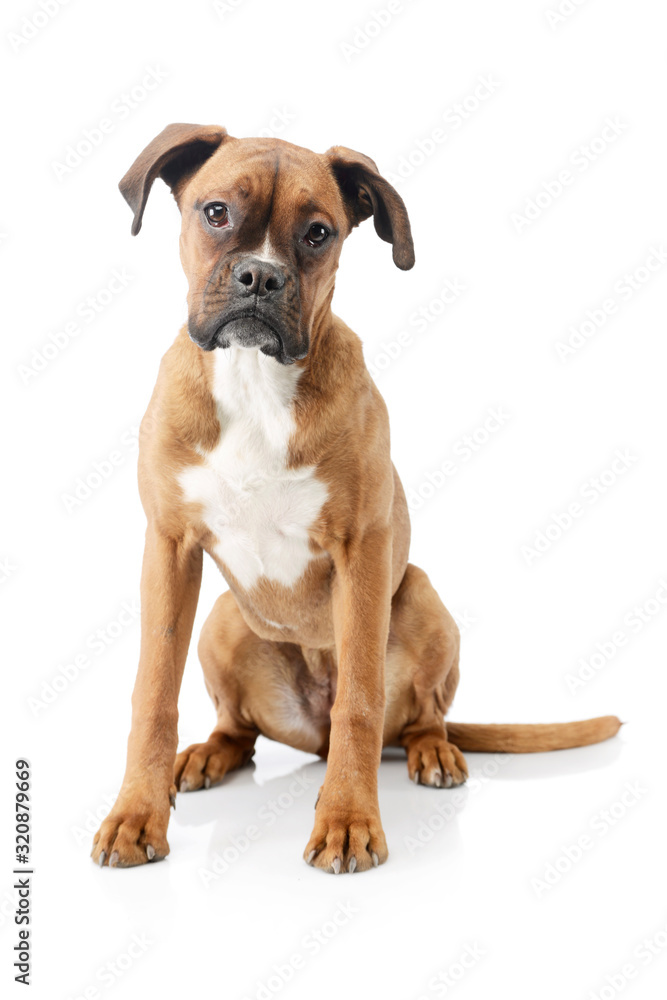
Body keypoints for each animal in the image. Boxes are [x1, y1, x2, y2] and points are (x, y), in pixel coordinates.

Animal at [91, 123, 624, 876]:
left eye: (318, 232)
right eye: (215, 212)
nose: (261, 276)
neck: (255, 381)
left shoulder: (363, 551)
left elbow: (362, 703)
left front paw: (346, 819)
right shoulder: (169, 548)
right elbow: (153, 694)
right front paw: (138, 812)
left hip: (420, 597)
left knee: (415, 716)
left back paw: (432, 752)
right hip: (223, 619)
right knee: (238, 730)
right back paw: (205, 756)